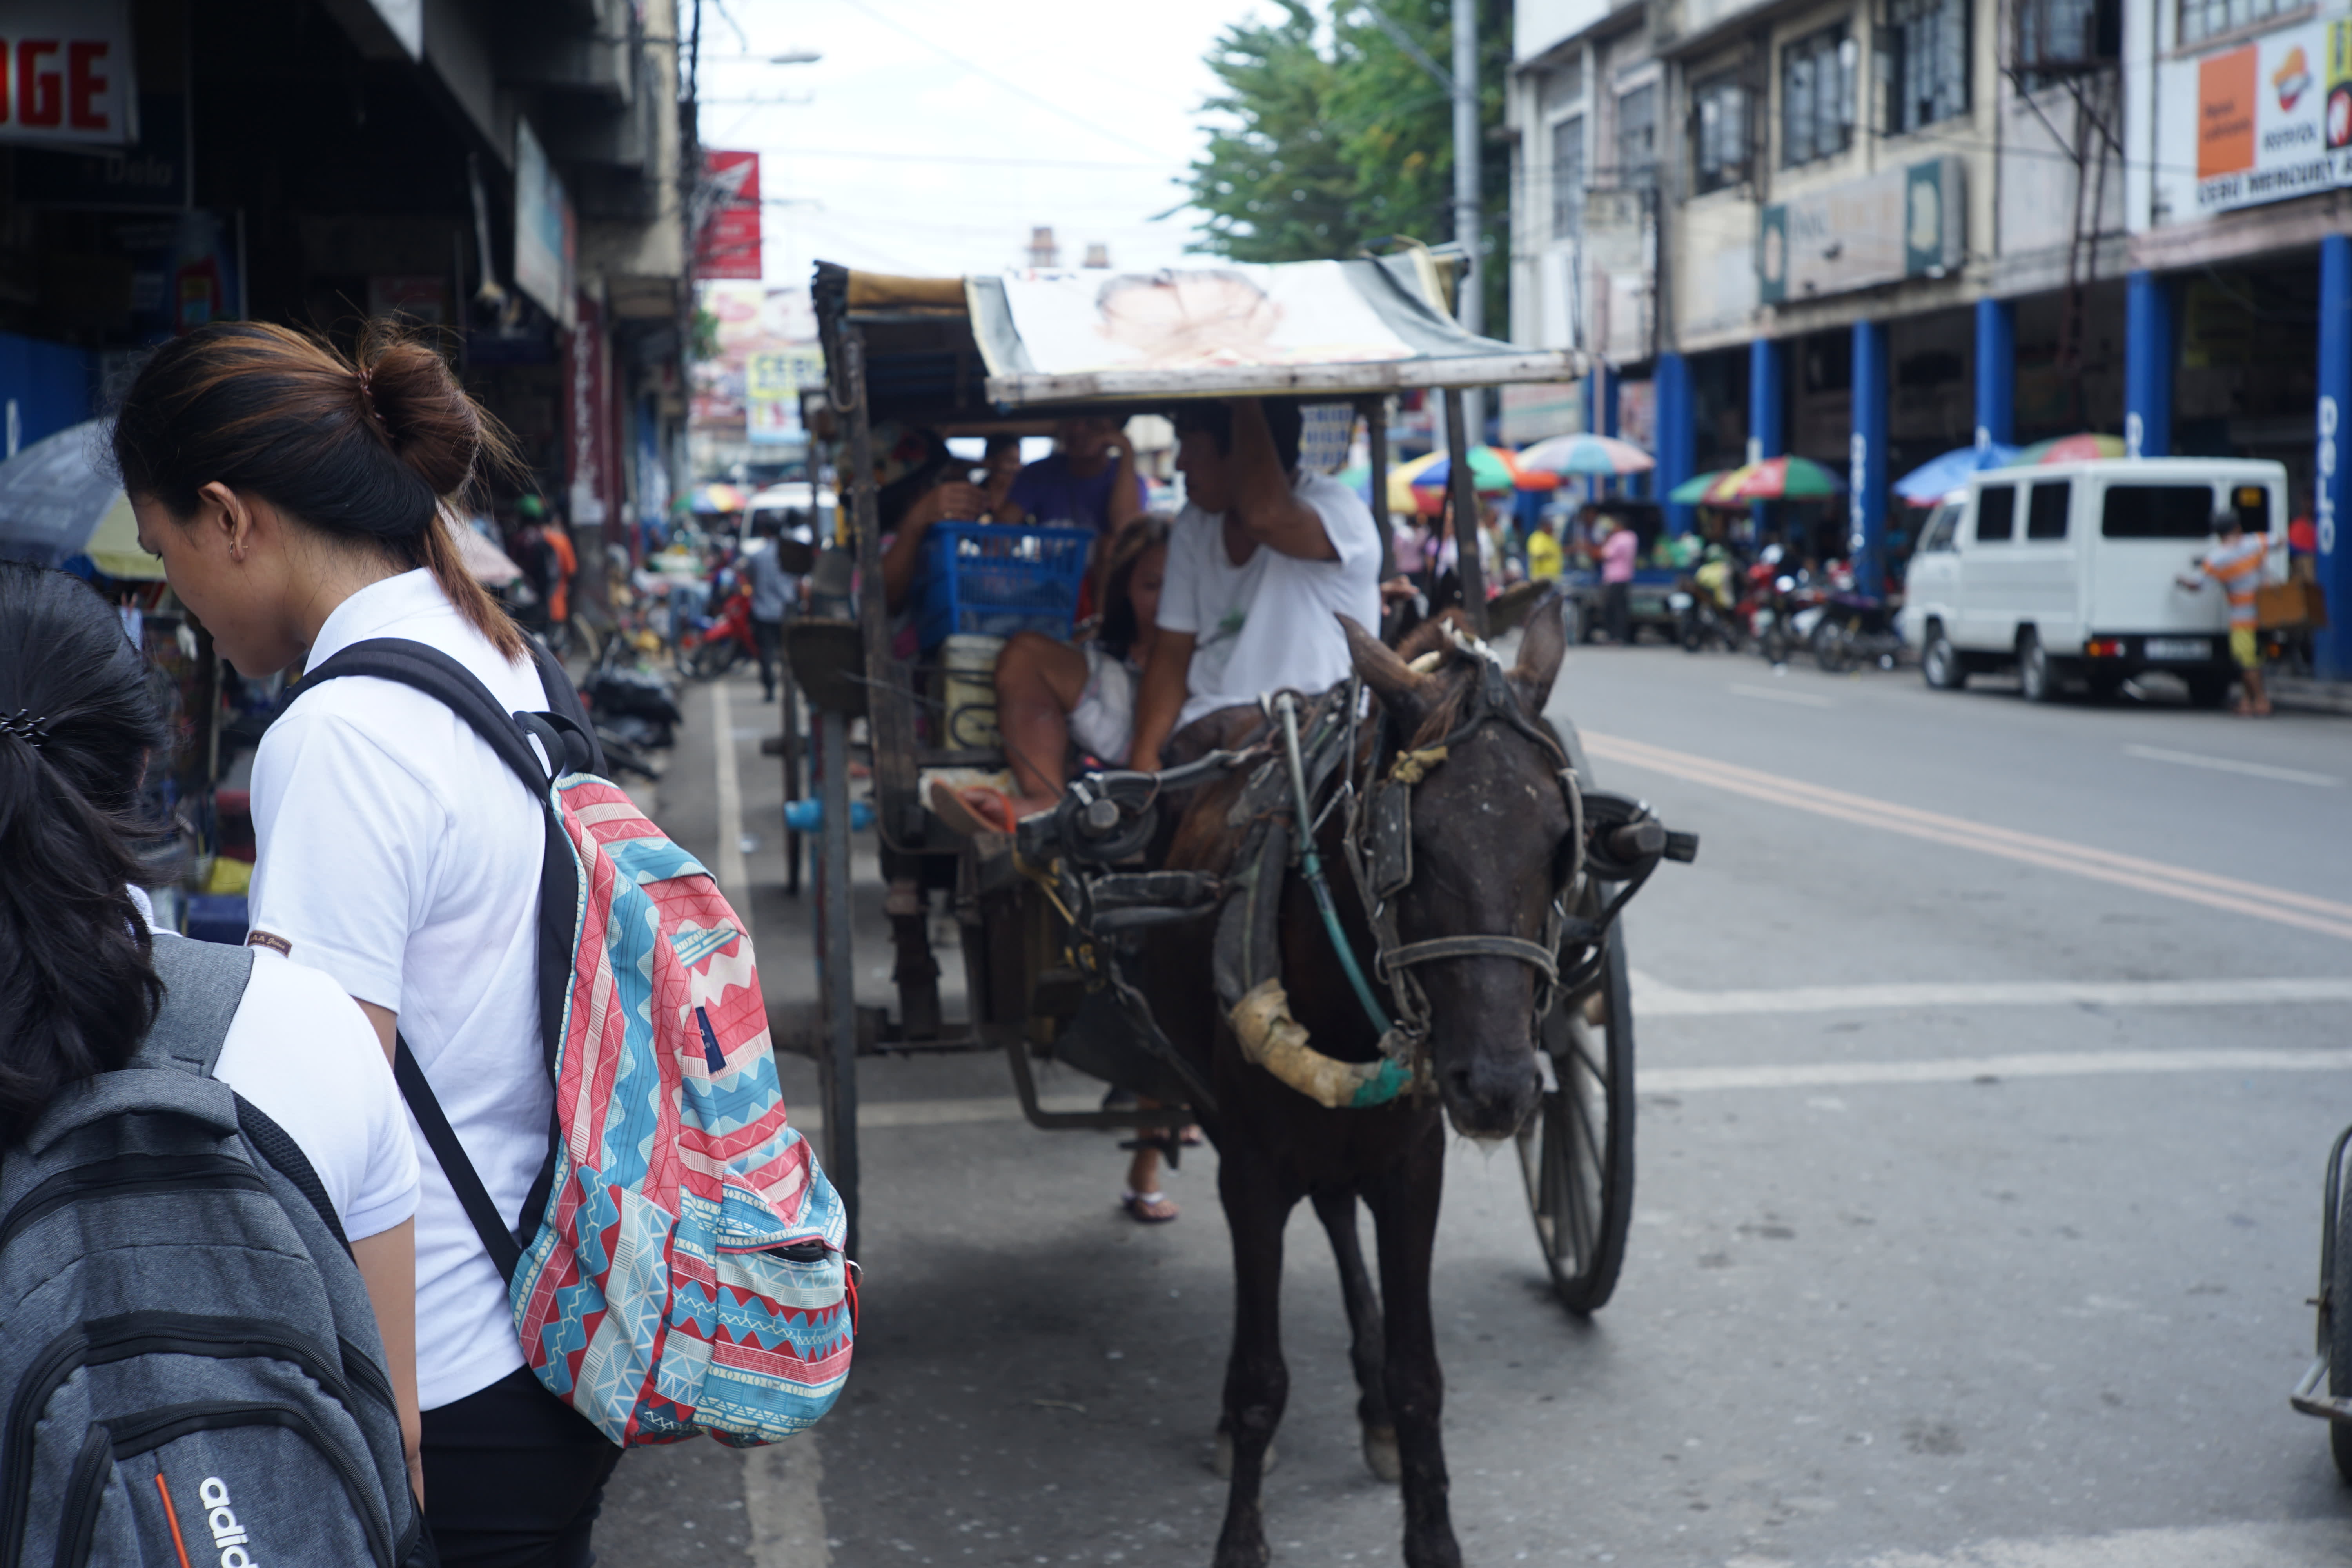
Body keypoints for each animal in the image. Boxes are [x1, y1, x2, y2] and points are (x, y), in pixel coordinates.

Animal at [1143, 602, 1581, 1568]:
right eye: (1410, 845)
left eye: (1559, 848)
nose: (1499, 1087)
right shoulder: (1251, 1168)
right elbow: (1260, 1378)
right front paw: (1241, 1534)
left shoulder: (1414, 1165)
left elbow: (1420, 1374)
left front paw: (1431, 1526)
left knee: (1339, 1205)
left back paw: (1372, 1404)